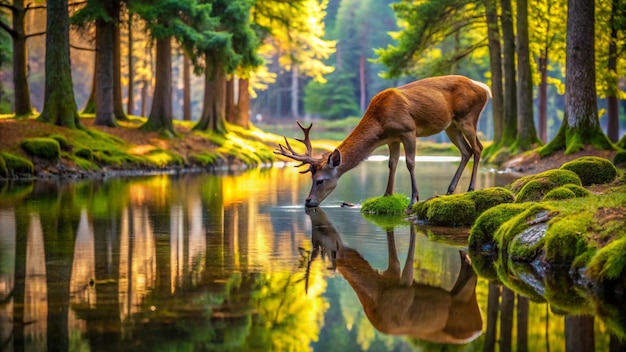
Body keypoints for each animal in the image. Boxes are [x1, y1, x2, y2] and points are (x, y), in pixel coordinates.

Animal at [276, 74, 490, 206]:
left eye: (320, 180)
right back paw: (450, 190)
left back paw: (471, 188)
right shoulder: (392, 138)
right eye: (311, 177)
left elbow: (410, 163)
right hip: (451, 126)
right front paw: (387, 194)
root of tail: (484, 89)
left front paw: (413, 199)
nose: (308, 202)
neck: (380, 123)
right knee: (466, 150)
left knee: (478, 148)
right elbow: (392, 163)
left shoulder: (408, 130)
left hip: (468, 117)